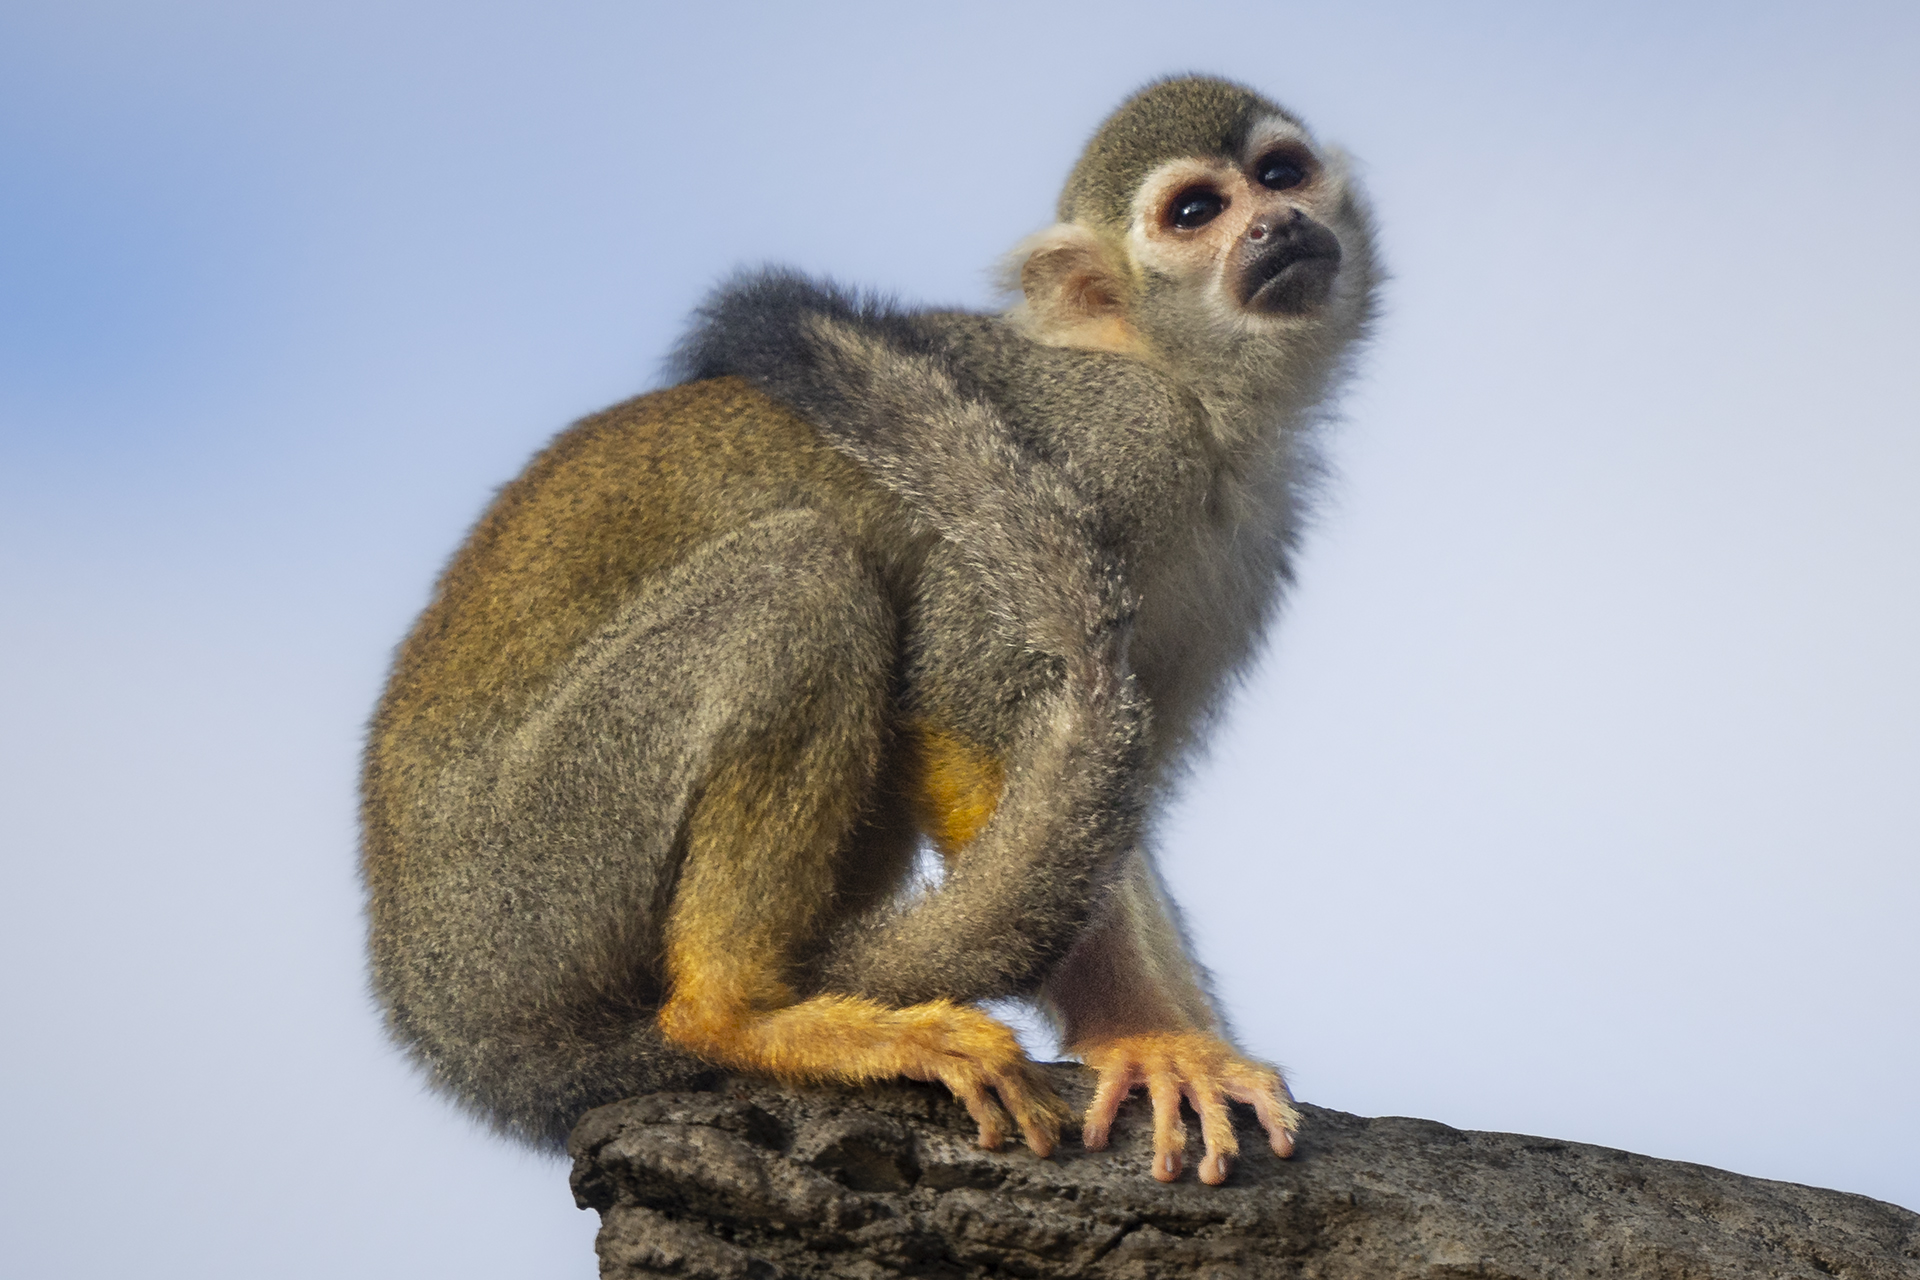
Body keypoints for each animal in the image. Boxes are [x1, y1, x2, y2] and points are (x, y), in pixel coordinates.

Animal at [360, 75, 1379, 1187]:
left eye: (1280, 173)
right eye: (1195, 212)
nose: (1278, 224)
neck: (1184, 387)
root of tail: (453, 1031)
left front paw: (1191, 1042)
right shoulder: (1119, 442)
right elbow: (967, 695)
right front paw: (1143, 1040)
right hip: (532, 870)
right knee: (803, 578)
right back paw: (739, 1015)